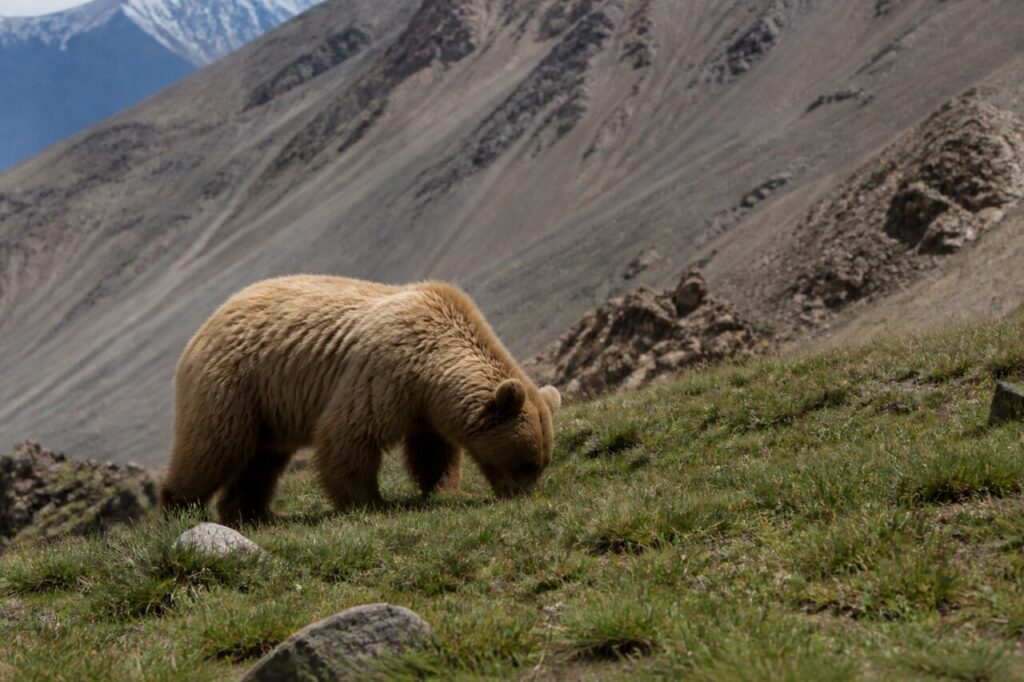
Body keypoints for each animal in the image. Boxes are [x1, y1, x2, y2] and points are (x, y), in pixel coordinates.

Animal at [159, 275, 561, 525]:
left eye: (542, 462)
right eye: (526, 463)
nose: (523, 496)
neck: (434, 363)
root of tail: (202, 329)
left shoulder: (425, 406)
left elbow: (433, 451)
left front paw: (446, 489)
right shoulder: (387, 372)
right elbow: (349, 435)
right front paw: (370, 502)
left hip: (268, 407)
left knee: (263, 459)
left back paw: (256, 513)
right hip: (234, 385)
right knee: (214, 447)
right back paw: (178, 506)